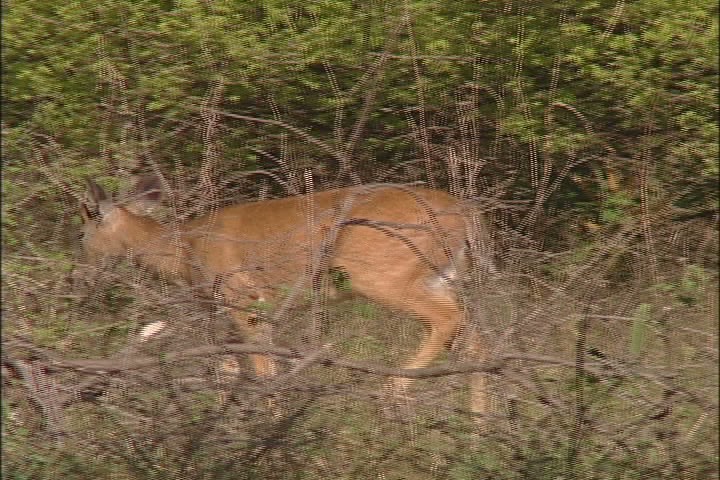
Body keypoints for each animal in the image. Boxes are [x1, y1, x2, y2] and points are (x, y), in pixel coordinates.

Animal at [80, 175, 490, 416]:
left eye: (82, 231)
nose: (81, 272)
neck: (183, 249)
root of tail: (467, 215)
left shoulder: (244, 299)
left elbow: (263, 370)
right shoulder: (225, 314)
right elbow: (228, 371)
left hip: (380, 273)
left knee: (446, 321)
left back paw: (390, 393)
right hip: (442, 276)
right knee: (472, 339)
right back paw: (477, 428)